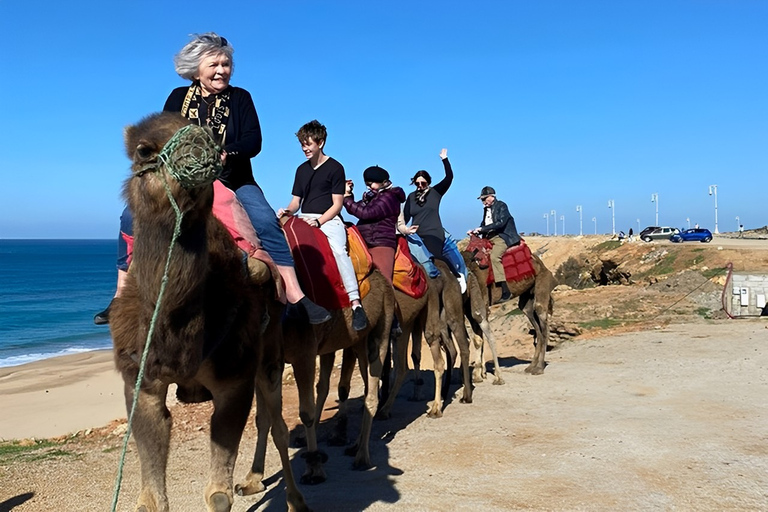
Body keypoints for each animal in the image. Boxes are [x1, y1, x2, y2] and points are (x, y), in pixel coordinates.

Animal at [110, 112, 306, 512]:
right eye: (143, 150)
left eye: (216, 140)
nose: (198, 146)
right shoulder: (141, 381)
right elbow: (151, 499)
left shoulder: (234, 378)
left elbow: (218, 495)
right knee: (267, 420)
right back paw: (254, 480)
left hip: (270, 350)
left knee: (277, 422)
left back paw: (295, 499)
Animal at [237, 235, 396, 488]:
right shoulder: (264, 363)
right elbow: (262, 419)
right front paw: (252, 479)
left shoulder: (304, 353)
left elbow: (307, 413)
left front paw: (314, 469)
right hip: (358, 341)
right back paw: (354, 445)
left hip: (382, 325)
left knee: (372, 389)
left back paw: (362, 456)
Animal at [462, 237, 552, 376]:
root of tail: (540, 262)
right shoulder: (469, 307)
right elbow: (478, 337)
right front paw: (481, 373)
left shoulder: (483, 302)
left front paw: (481, 373)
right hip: (527, 297)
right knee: (532, 319)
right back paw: (531, 367)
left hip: (542, 281)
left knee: (542, 319)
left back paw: (539, 368)